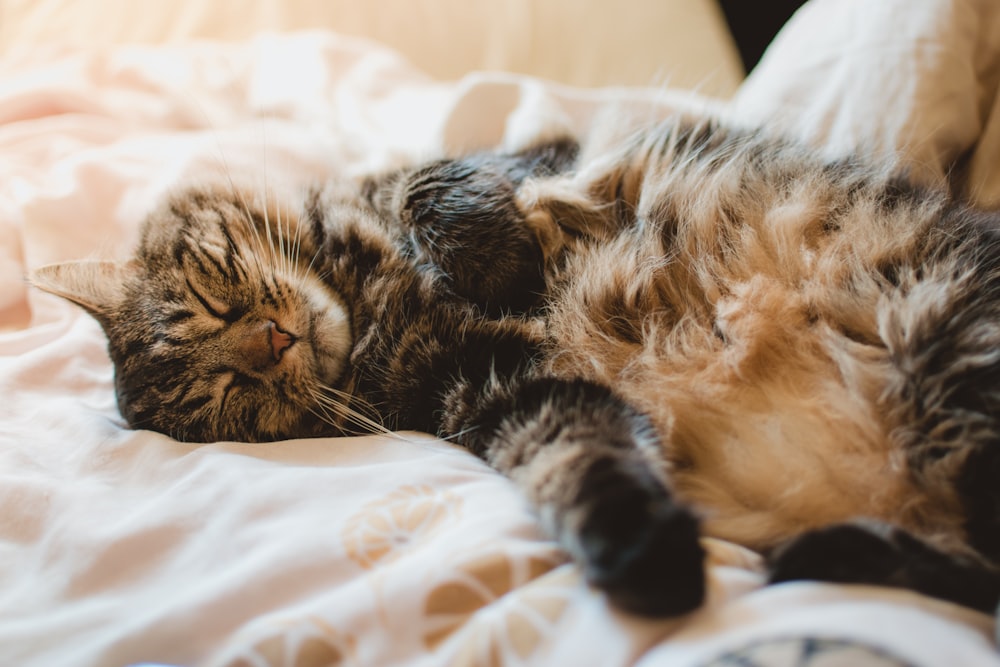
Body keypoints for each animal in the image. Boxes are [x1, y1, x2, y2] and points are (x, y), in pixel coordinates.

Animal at [29, 116, 1000, 620]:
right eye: (231, 396)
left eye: (210, 293)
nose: (270, 344)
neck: (363, 298)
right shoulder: (493, 386)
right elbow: (575, 456)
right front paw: (646, 558)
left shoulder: (526, 154)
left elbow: (437, 185)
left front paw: (504, 262)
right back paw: (824, 553)